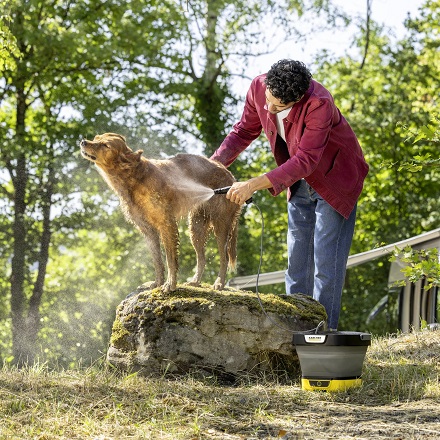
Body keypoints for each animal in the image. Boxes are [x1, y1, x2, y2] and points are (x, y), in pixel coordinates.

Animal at [81, 134, 242, 292]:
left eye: (105, 145)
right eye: (96, 138)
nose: (83, 142)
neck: (134, 177)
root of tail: (230, 175)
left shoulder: (166, 224)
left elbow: (170, 259)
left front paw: (170, 285)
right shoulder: (148, 230)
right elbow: (157, 261)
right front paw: (158, 282)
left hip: (221, 225)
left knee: (224, 257)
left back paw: (219, 283)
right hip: (196, 228)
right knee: (201, 258)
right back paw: (195, 281)